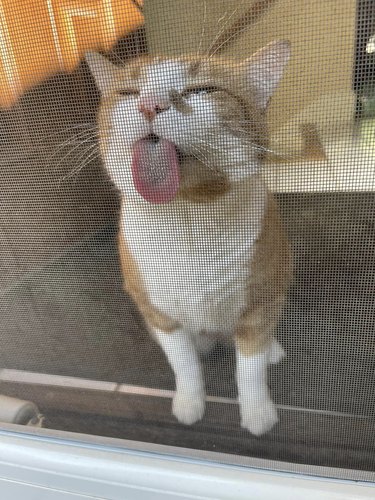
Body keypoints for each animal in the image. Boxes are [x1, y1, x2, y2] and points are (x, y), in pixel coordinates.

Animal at [86, 41, 294, 436]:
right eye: (129, 92)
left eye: (201, 89)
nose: (149, 103)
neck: (188, 218)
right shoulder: (160, 314)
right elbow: (184, 364)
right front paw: (189, 403)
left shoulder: (259, 304)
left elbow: (250, 369)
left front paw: (257, 413)